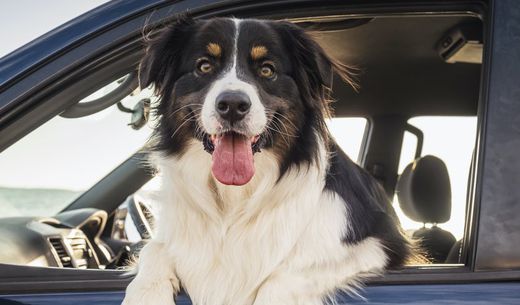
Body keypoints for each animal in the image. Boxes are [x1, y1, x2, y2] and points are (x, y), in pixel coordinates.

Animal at [123, 16, 414, 304]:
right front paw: (145, 294)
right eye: (204, 66)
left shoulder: (380, 244)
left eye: (267, 70)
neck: (233, 201)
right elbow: (154, 249)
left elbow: (285, 277)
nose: (232, 105)